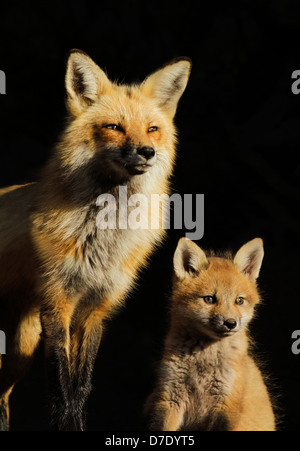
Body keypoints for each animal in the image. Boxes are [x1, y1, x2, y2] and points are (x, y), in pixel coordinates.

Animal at [0, 49, 192, 430]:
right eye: (114, 127)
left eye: (153, 129)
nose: (146, 151)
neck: (101, 241)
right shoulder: (56, 301)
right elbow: (62, 390)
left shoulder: (96, 308)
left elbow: (81, 386)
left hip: (19, 349)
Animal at [146, 238, 276, 432]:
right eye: (209, 299)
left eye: (239, 300)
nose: (230, 323)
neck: (204, 363)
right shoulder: (169, 397)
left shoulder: (226, 403)